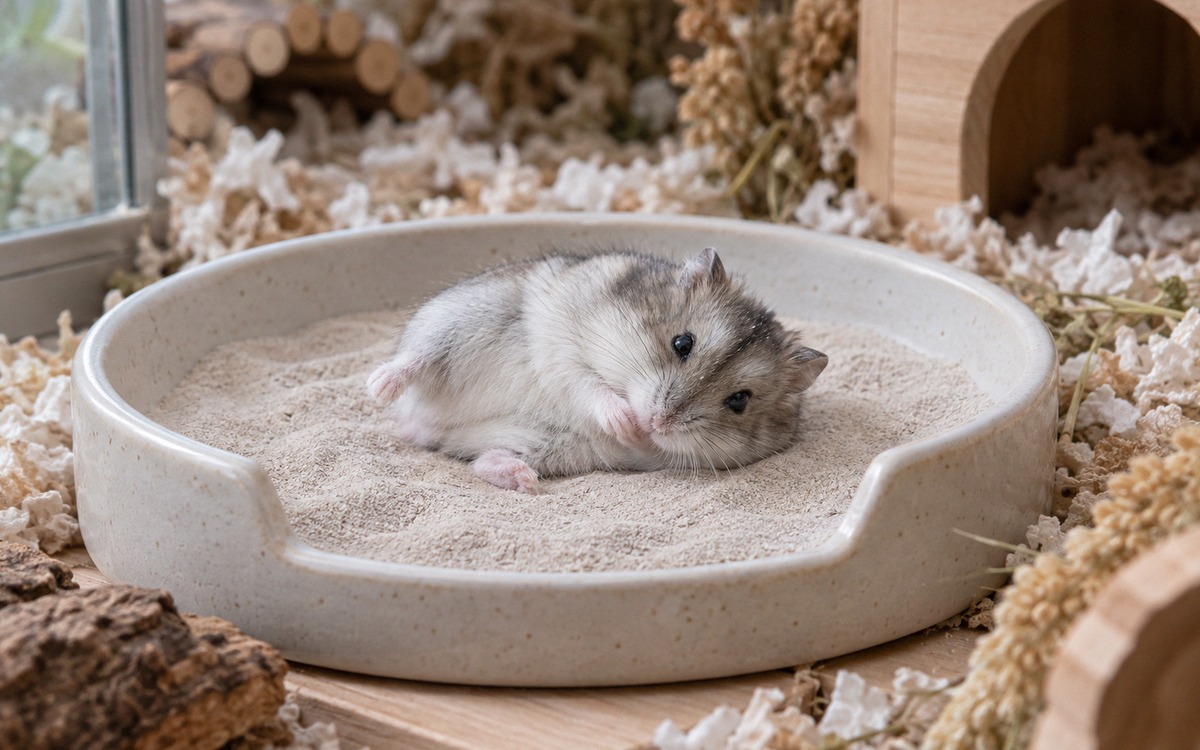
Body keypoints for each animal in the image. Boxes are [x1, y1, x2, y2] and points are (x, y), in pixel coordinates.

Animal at [367, 247, 828, 493]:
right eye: (682, 343)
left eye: (739, 401)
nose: (656, 422)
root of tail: (429, 423)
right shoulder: (567, 353)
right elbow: (590, 385)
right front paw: (625, 422)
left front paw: (637, 434)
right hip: (461, 321)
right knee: (417, 358)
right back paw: (379, 386)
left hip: (546, 444)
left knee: (483, 461)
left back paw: (525, 480)